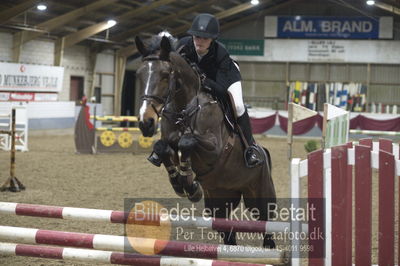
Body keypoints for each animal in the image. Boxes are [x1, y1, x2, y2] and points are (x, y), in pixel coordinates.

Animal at [136, 34, 276, 248]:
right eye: (138, 74)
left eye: (165, 75)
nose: (146, 123)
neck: (184, 109)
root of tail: (263, 153)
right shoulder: (168, 141)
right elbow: (162, 148)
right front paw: (180, 183)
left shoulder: (214, 149)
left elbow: (187, 142)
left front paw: (190, 185)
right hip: (220, 201)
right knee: (227, 233)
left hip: (260, 197)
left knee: (266, 223)